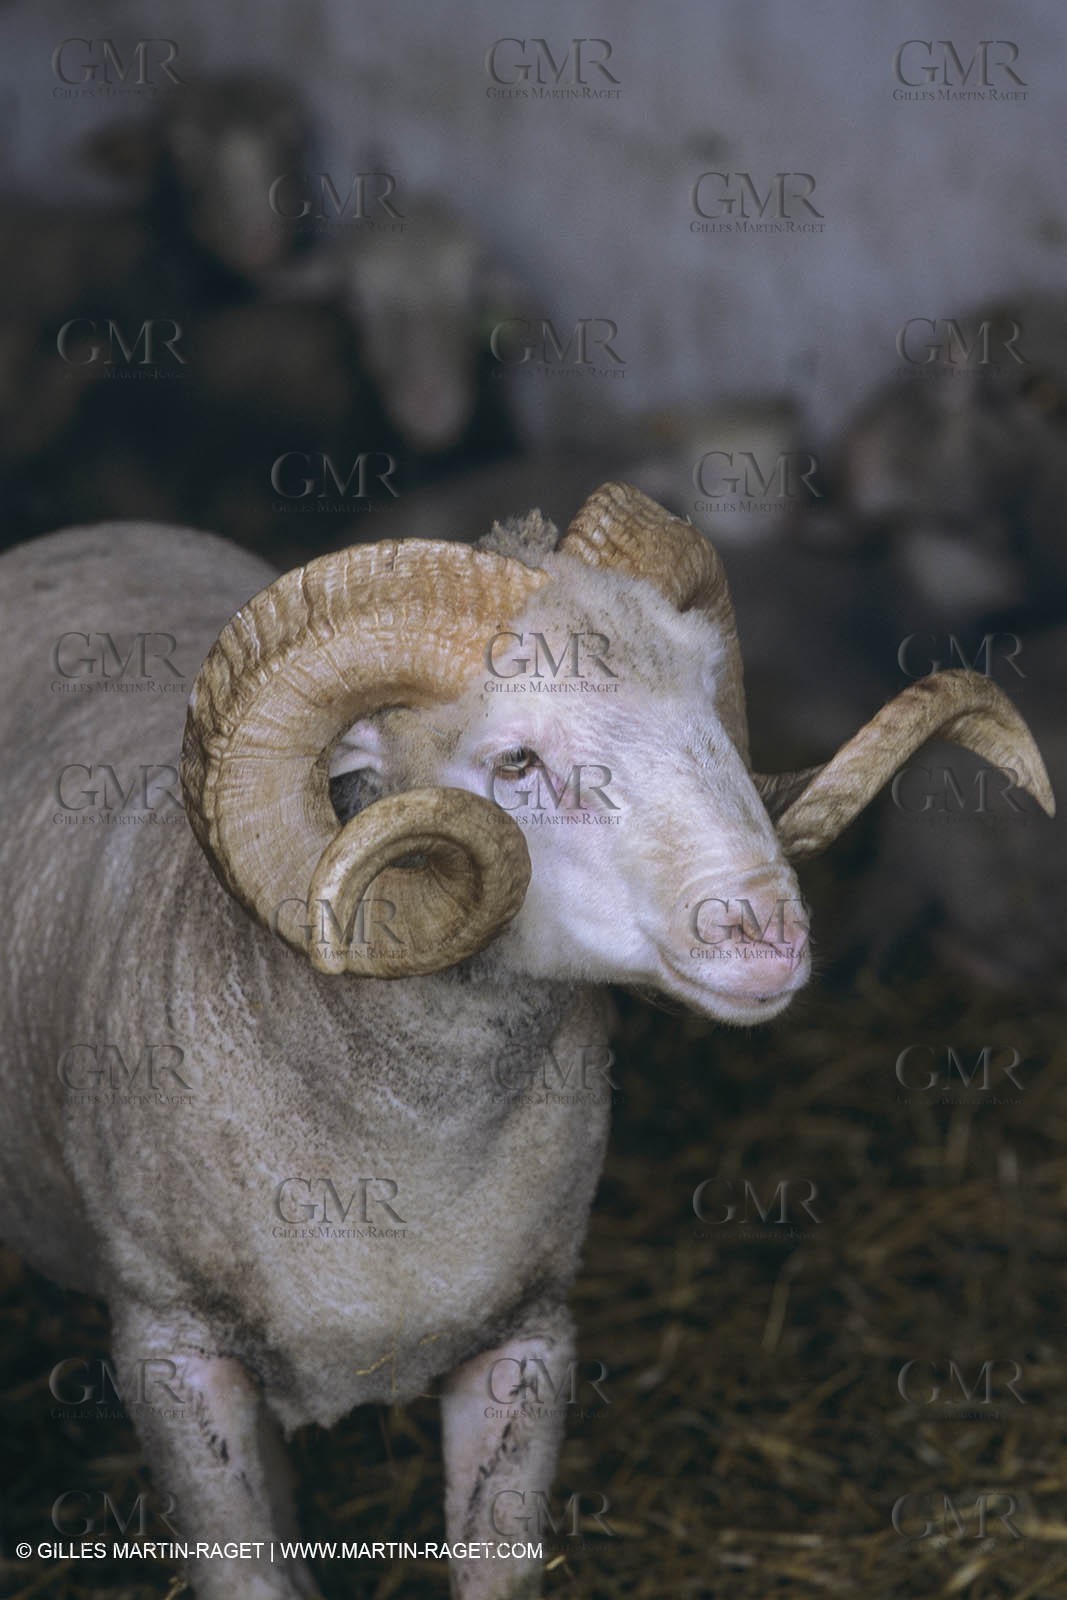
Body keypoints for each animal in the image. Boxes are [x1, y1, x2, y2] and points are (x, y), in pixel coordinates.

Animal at [0, 484, 1053, 1600]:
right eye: (516, 761)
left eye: (710, 709)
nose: (764, 932)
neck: (396, 1149)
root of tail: (106, 531)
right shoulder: (171, 1352)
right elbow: (247, 1570)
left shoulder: (529, 1336)